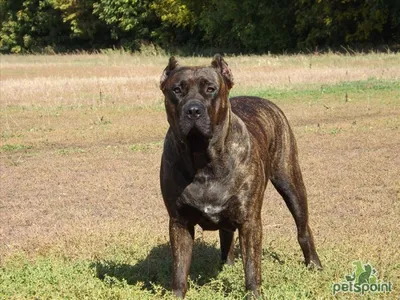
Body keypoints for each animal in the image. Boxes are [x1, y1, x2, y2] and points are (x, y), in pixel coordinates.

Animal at [159, 54, 322, 298]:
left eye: (210, 89)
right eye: (177, 90)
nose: (193, 110)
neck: (203, 159)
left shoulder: (250, 222)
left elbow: (252, 267)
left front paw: (253, 293)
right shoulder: (179, 222)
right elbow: (179, 270)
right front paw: (177, 294)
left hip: (291, 184)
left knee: (302, 228)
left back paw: (313, 263)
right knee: (226, 235)